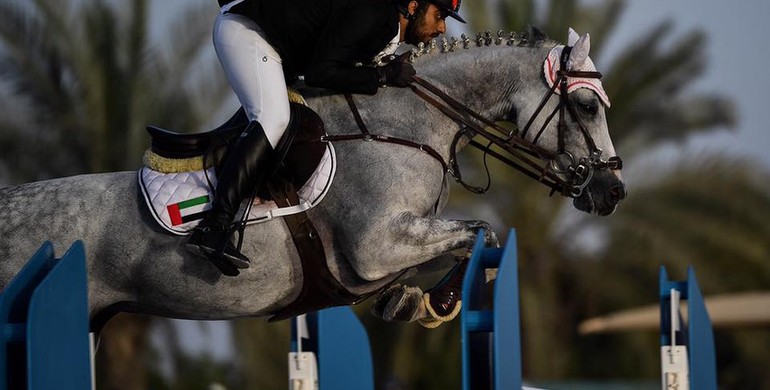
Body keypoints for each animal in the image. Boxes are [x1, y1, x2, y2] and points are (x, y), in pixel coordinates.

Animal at [0, 28, 624, 330]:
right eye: (587, 106)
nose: (612, 193)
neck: (404, 127)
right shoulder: (375, 245)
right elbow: (478, 233)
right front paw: (432, 304)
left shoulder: (401, 241)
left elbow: (473, 240)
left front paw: (410, 302)